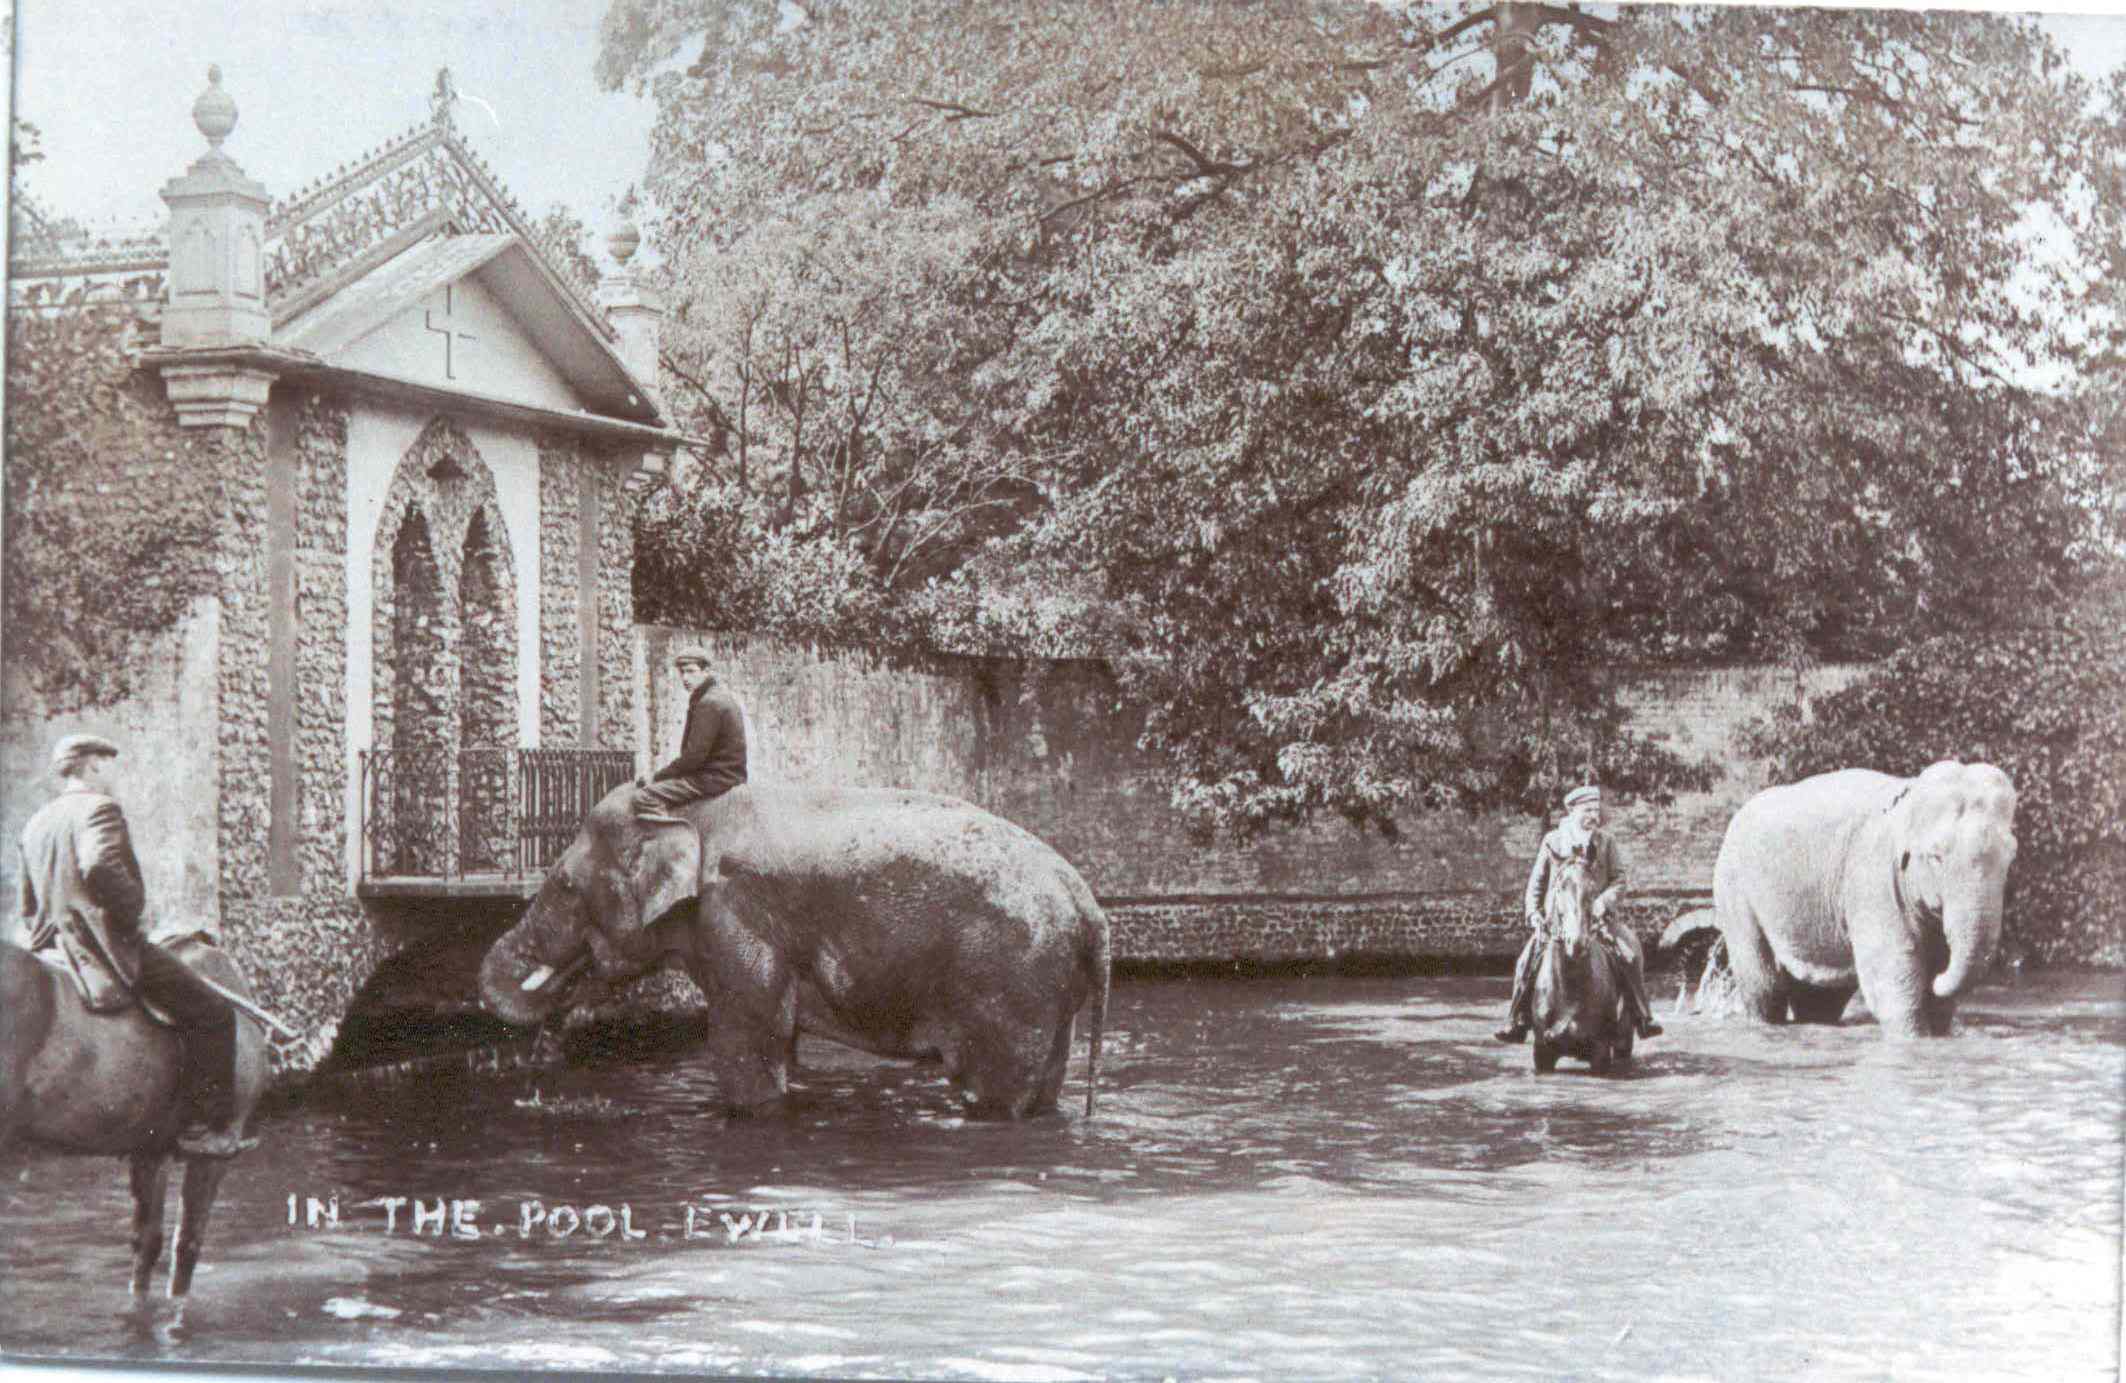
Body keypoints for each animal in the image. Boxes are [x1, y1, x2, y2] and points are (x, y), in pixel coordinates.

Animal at [480, 786, 1114, 1121]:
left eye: (564, 884)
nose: (533, 1070)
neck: (689, 809)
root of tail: (1089, 904)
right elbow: (776, 1038)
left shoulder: (737, 916)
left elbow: (747, 1038)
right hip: (1048, 988)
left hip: (1010, 980)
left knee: (994, 1089)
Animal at [1692, 756, 2006, 1036]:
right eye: (1936, 857)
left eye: (2010, 857)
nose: (1938, 979)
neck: (1910, 795)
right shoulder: (1873, 876)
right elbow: (1890, 972)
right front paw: (1912, 1038)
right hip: (1735, 891)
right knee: (1765, 985)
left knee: (1820, 999)